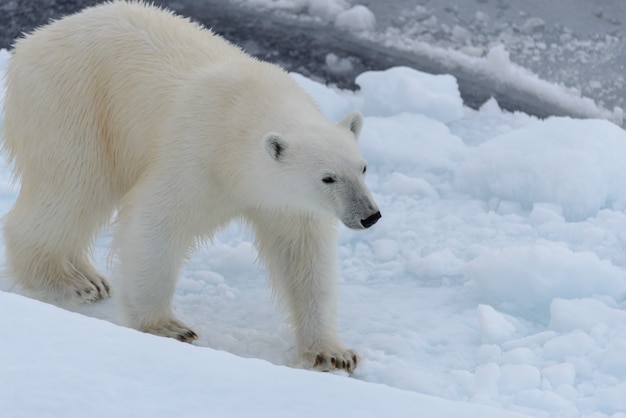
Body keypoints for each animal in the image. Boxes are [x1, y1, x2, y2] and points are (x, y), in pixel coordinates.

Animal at [2, 0, 378, 372]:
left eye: (362, 168)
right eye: (328, 177)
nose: (370, 216)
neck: (246, 112)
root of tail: (32, 40)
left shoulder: (284, 201)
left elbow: (304, 255)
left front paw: (333, 353)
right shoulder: (198, 151)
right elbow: (156, 222)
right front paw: (167, 327)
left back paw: (90, 276)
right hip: (73, 103)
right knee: (73, 187)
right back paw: (67, 282)